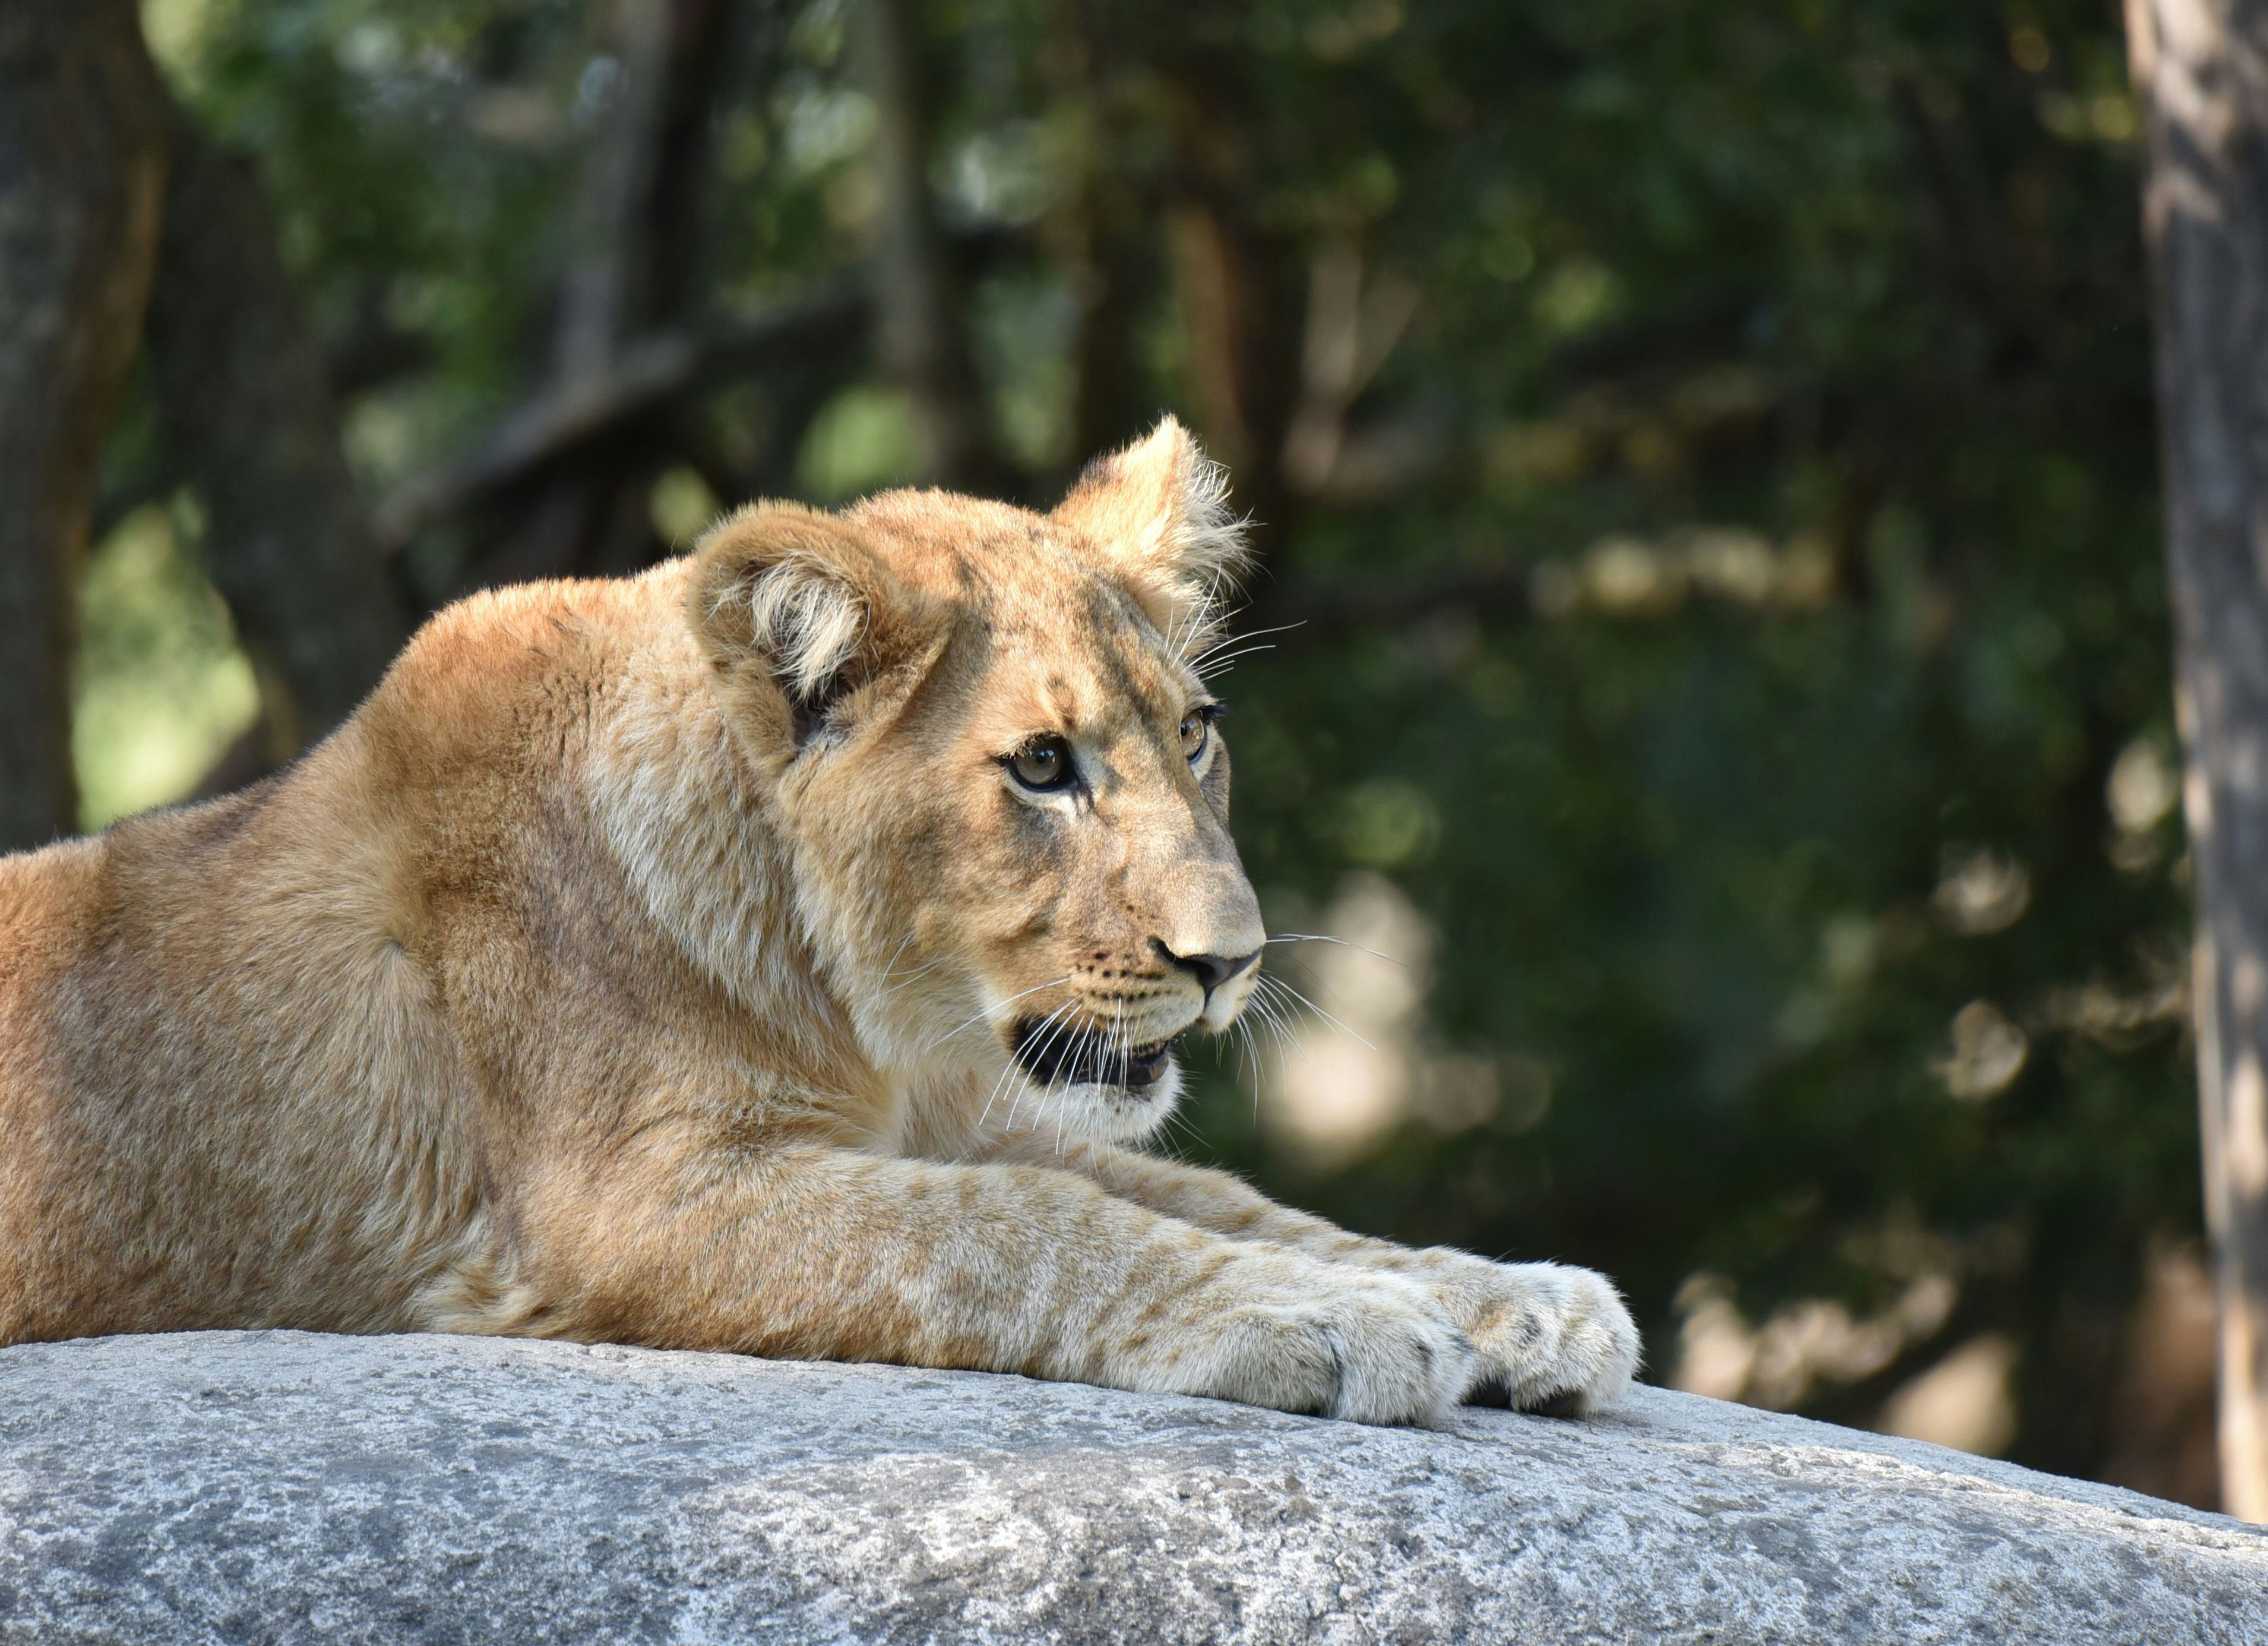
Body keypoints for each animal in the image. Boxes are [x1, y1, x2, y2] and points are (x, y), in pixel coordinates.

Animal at [0, 418, 1638, 1424]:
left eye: (1195, 733)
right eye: (1041, 765)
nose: (1227, 959)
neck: (873, 1021)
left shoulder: (967, 1115)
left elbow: (1219, 1194)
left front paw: (1510, 1297)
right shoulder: (620, 1207)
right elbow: (1024, 1229)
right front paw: (1335, 1318)